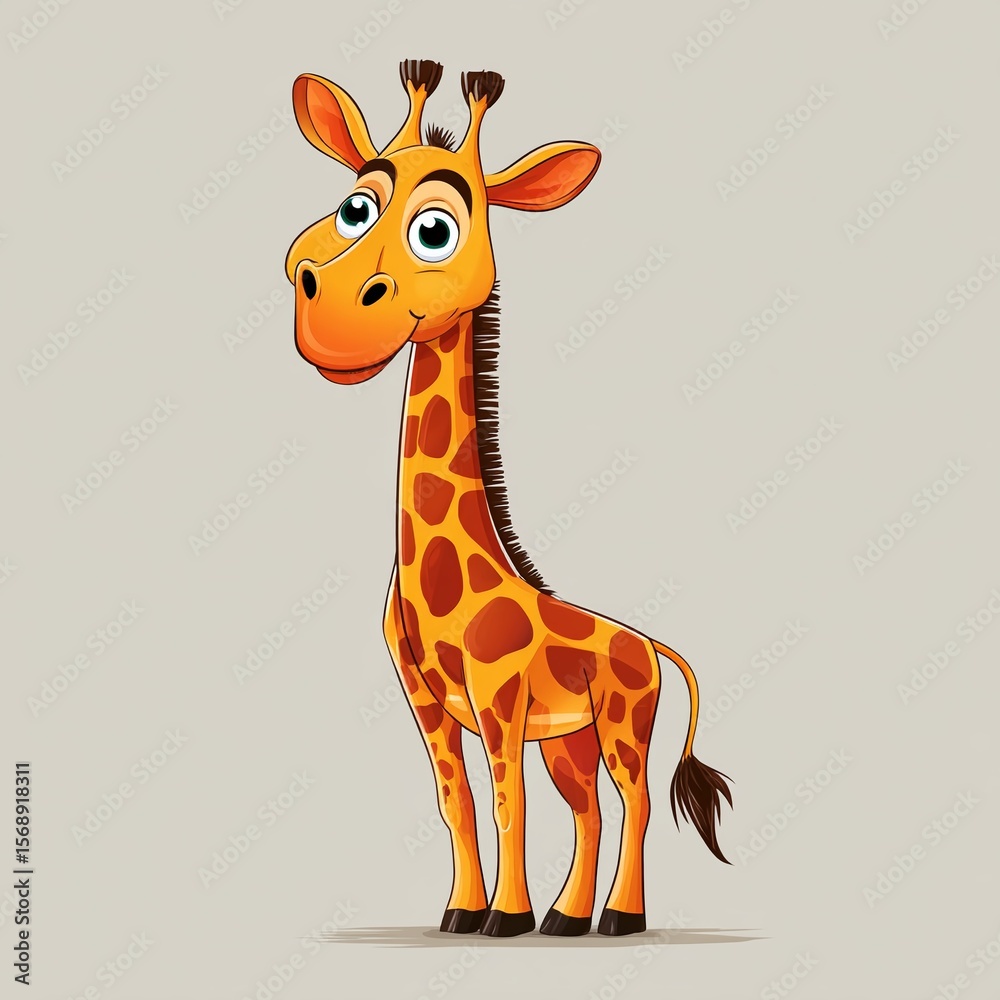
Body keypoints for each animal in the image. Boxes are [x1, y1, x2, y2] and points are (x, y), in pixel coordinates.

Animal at [284, 60, 733, 938]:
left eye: (437, 229)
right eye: (356, 206)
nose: (328, 314)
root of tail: (655, 648)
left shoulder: (499, 701)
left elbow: (506, 804)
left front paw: (503, 917)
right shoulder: (427, 700)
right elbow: (455, 803)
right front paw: (464, 910)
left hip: (625, 725)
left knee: (631, 804)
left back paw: (616, 918)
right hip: (571, 740)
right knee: (589, 808)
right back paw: (567, 918)